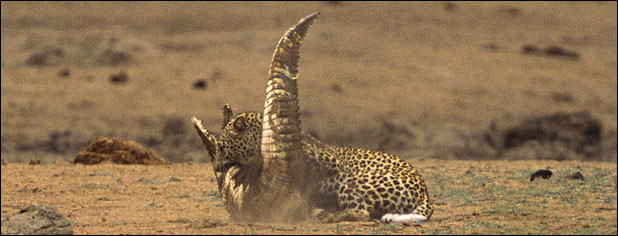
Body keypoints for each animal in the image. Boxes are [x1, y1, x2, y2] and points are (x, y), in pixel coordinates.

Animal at [192, 12, 434, 224]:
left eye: (223, 147)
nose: (218, 167)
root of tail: (425, 194)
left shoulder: (328, 162)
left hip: (354, 183)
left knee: (362, 211)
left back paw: (326, 215)